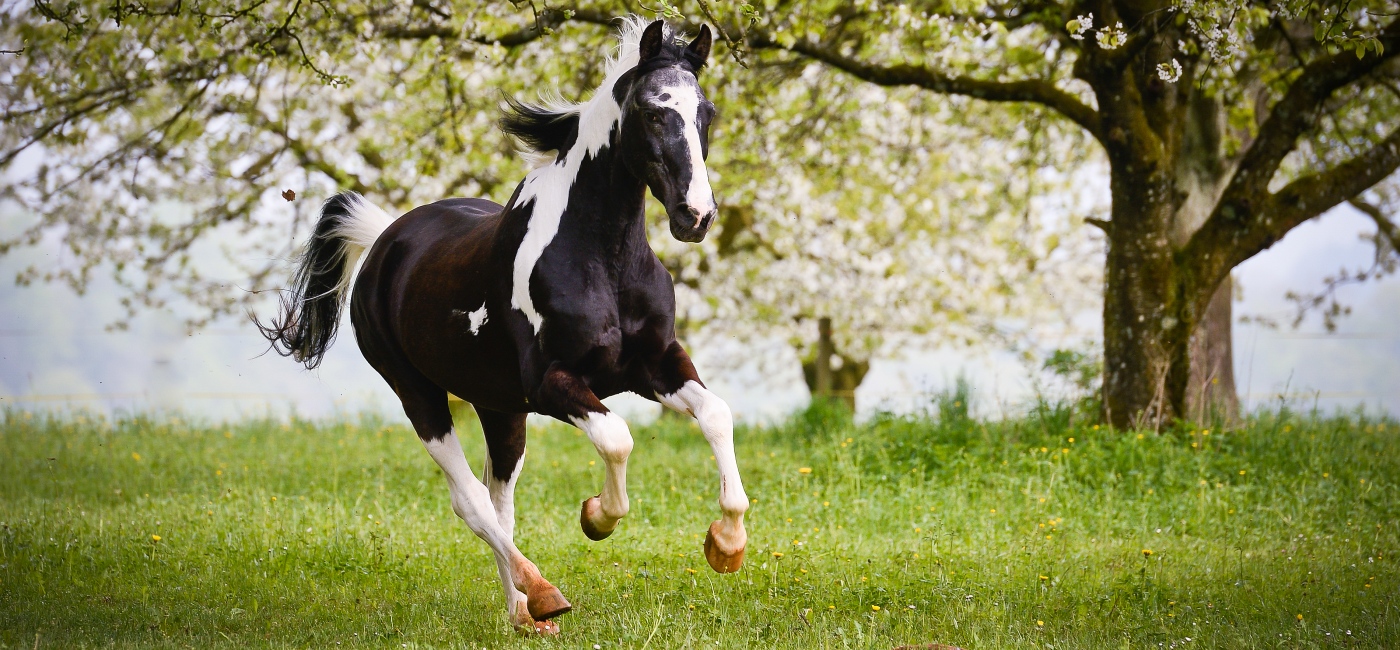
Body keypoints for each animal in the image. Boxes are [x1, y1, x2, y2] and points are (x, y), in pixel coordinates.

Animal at [256, 19, 750, 635]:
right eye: (653, 111)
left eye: (706, 111)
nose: (696, 216)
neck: (602, 258)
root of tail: (384, 238)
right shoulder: (552, 384)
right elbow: (617, 439)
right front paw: (597, 516)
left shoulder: (655, 365)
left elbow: (717, 416)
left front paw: (726, 544)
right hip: (419, 394)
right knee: (470, 499)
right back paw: (541, 592)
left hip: (499, 407)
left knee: (498, 497)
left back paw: (524, 611)